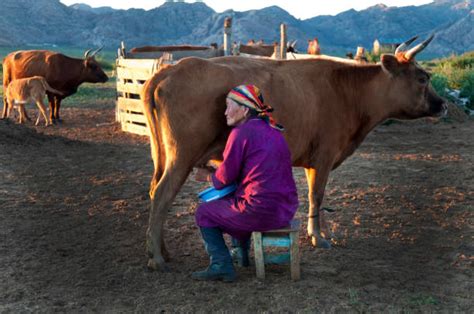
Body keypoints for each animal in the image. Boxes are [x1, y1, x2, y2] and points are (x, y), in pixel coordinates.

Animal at [142, 33, 448, 270]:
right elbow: (316, 196)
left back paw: (160, 250)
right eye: (423, 78)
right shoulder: (324, 156)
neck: (348, 92)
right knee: (162, 194)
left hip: (164, 156)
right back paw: (157, 258)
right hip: (182, 156)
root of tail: (171, 70)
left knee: (154, 191)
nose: (443, 105)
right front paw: (318, 236)